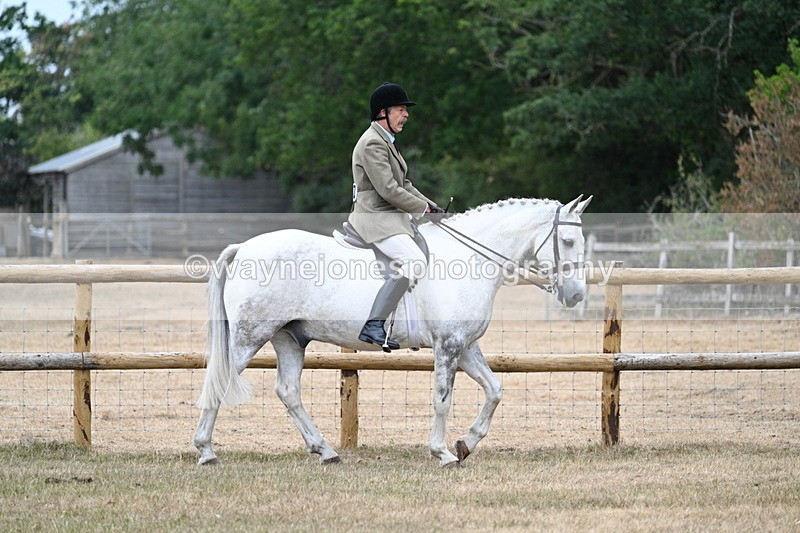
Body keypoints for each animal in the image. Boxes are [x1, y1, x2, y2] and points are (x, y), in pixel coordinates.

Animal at [193, 195, 593, 467]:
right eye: (568, 242)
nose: (576, 295)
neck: (469, 260)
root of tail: (244, 248)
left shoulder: (465, 346)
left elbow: (495, 390)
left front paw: (467, 443)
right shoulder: (448, 346)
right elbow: (442, 399)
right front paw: (443, 452)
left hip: (290, 338)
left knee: (289, 392)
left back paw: (325, 451)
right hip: (249, 336)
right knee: (222, 381)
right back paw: (206, 450)